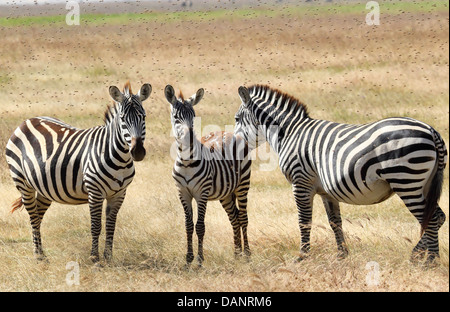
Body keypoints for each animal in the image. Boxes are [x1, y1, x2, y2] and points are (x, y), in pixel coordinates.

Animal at [5, 81, 152, 262]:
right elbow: (96, 226)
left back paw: (42, 254)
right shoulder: (95, 192)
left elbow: (111, 226)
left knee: (38, 216)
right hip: (23, 182)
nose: (138, 152)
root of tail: (27, 121)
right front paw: (95, 258)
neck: (120, 158)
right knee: (33, 216)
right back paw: (38, 256)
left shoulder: (119, 193)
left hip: (44, 187)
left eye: (143, 117)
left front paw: (108, 257)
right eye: (123, 119)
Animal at [165, 84, 251, 266]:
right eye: (176, 117)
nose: (190, 138)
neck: (186, 161)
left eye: (193, 116)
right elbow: (188, 225)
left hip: (243, 185)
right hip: (226, 193)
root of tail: (230, 132)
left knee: (243, 217)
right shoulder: (183, 193)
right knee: (234, 218)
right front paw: (188, 259)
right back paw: (236, 254)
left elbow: (200, 226)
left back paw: (247, 254)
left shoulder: (201, 194)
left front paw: (199, 260)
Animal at [236, 83, 446, 264]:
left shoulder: (301, 182)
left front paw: (302, 257)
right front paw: (342, 255)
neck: (289, 133)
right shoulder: (326, 191)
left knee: (431, 218)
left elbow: (304, 221)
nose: (235, 146)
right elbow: (334, 222)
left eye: (237, 119)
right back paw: (419, 255)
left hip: (407, 181)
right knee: (438, 216)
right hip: (424, 183)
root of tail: (431, 130)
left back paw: (430, 261)